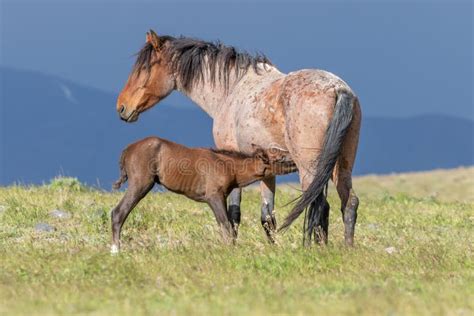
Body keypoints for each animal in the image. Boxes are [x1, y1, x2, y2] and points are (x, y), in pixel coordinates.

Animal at [109, 136, 292, 252]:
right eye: (280, 157)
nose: (295, 156)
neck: (229, 167)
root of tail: (128, 149)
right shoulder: (214, 196)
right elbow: (226, 225)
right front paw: (230, 251)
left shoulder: (221, 197)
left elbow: (229, 225)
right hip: (141, 184)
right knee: (118, 212)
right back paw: (115, 250)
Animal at [116, 30, 362, 244]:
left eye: (145, 67)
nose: (122, 107)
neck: (231, 88)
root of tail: (339, 90)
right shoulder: (266, 168)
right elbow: (267, 216)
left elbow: (234, 213)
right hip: (341, 165)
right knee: (348, 203)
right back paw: (343, 248)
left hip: (309, 167)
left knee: (317, 204)